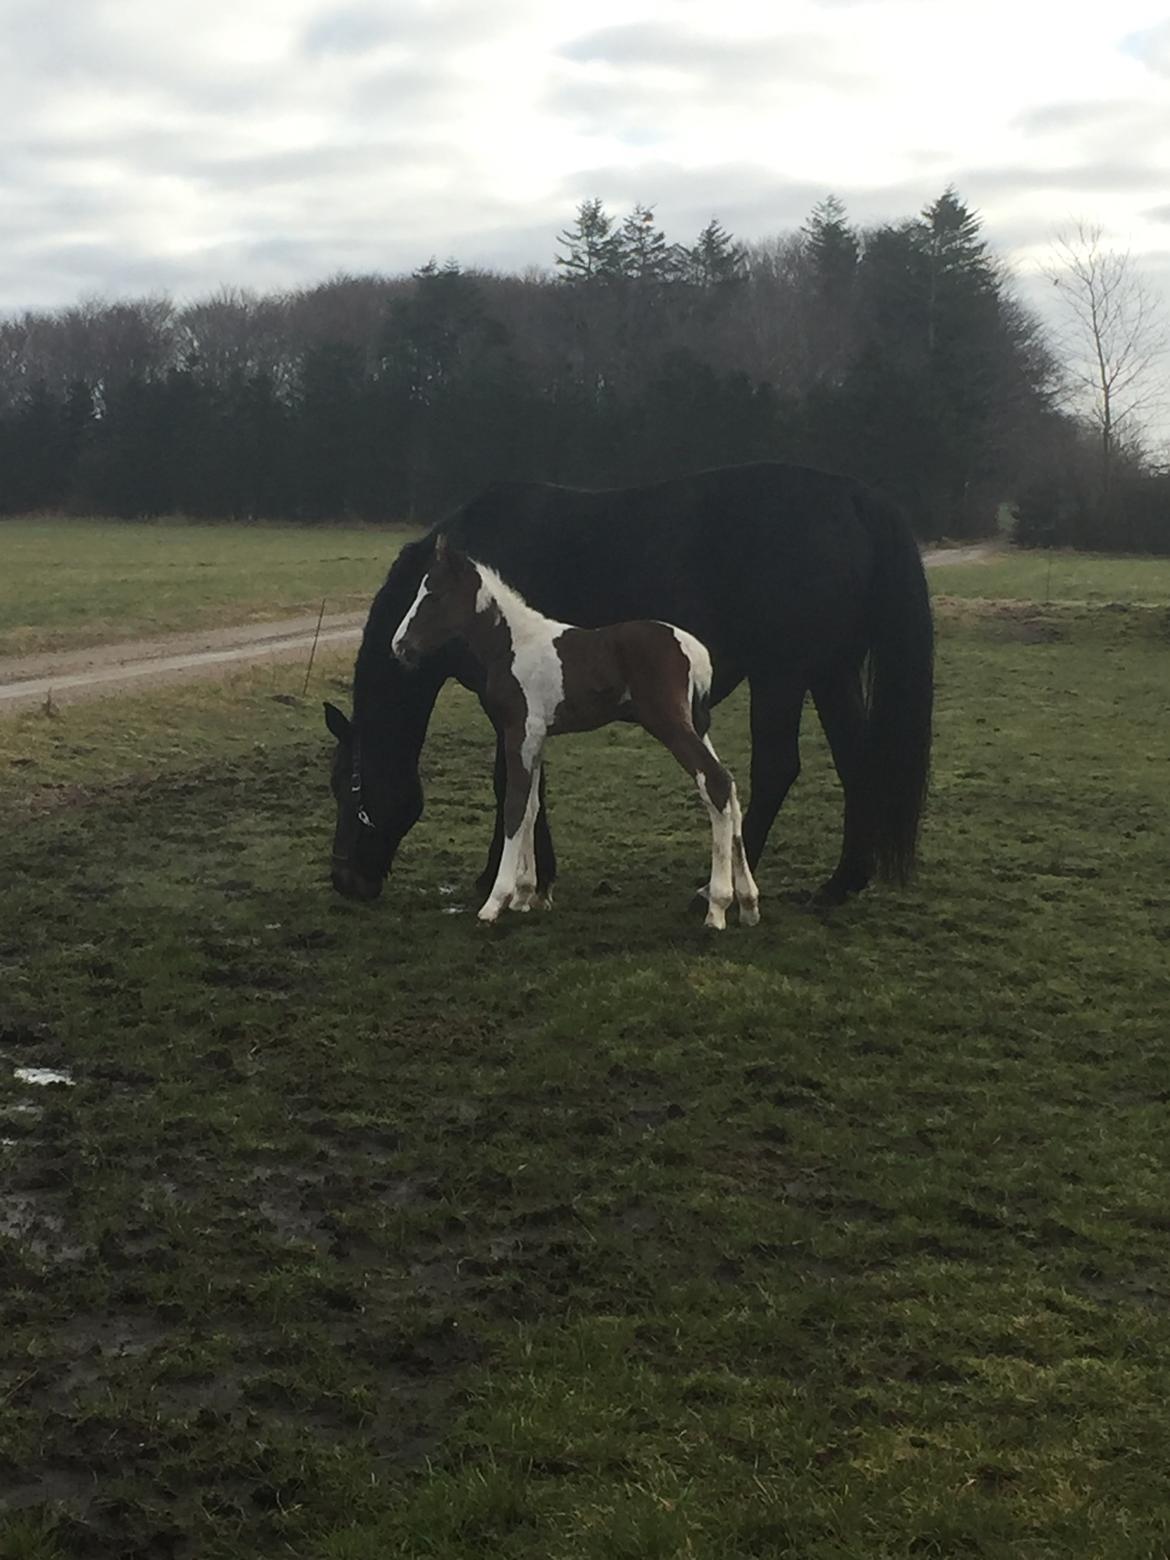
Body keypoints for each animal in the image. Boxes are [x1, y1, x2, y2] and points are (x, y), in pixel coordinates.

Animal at [394, 539, 761, 923]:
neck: (512, 645)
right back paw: (748, 903)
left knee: (715, 783)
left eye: (434, 594)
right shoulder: (536, 737)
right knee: (730, 789)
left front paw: (495, 901)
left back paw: (717, 907)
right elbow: (532, 807)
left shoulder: (519, 731)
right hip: (697, 725)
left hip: (670, 724)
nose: (400, 646)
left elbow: (514, 806)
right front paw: (525, 895)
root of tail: (695, 649)